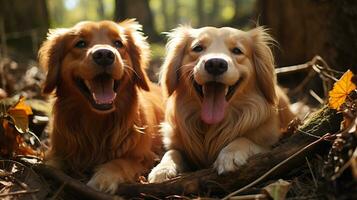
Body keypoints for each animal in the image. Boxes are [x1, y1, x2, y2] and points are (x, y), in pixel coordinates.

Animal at [38, 19, 163, 192]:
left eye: (118, 43)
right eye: (80, 43)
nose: (104, 54)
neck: (96, 122)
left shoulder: (144, 156)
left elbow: (118, 162)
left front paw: (102, 178)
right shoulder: (57, 150)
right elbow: (51, 163)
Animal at [147, 25, 292, 182]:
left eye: (237, 50)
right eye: (198, 48)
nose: (215, 64)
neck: (211, 126)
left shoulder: (270, 145)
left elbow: (244, 139)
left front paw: (229, 155)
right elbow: (172, 152)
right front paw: (162, 169)